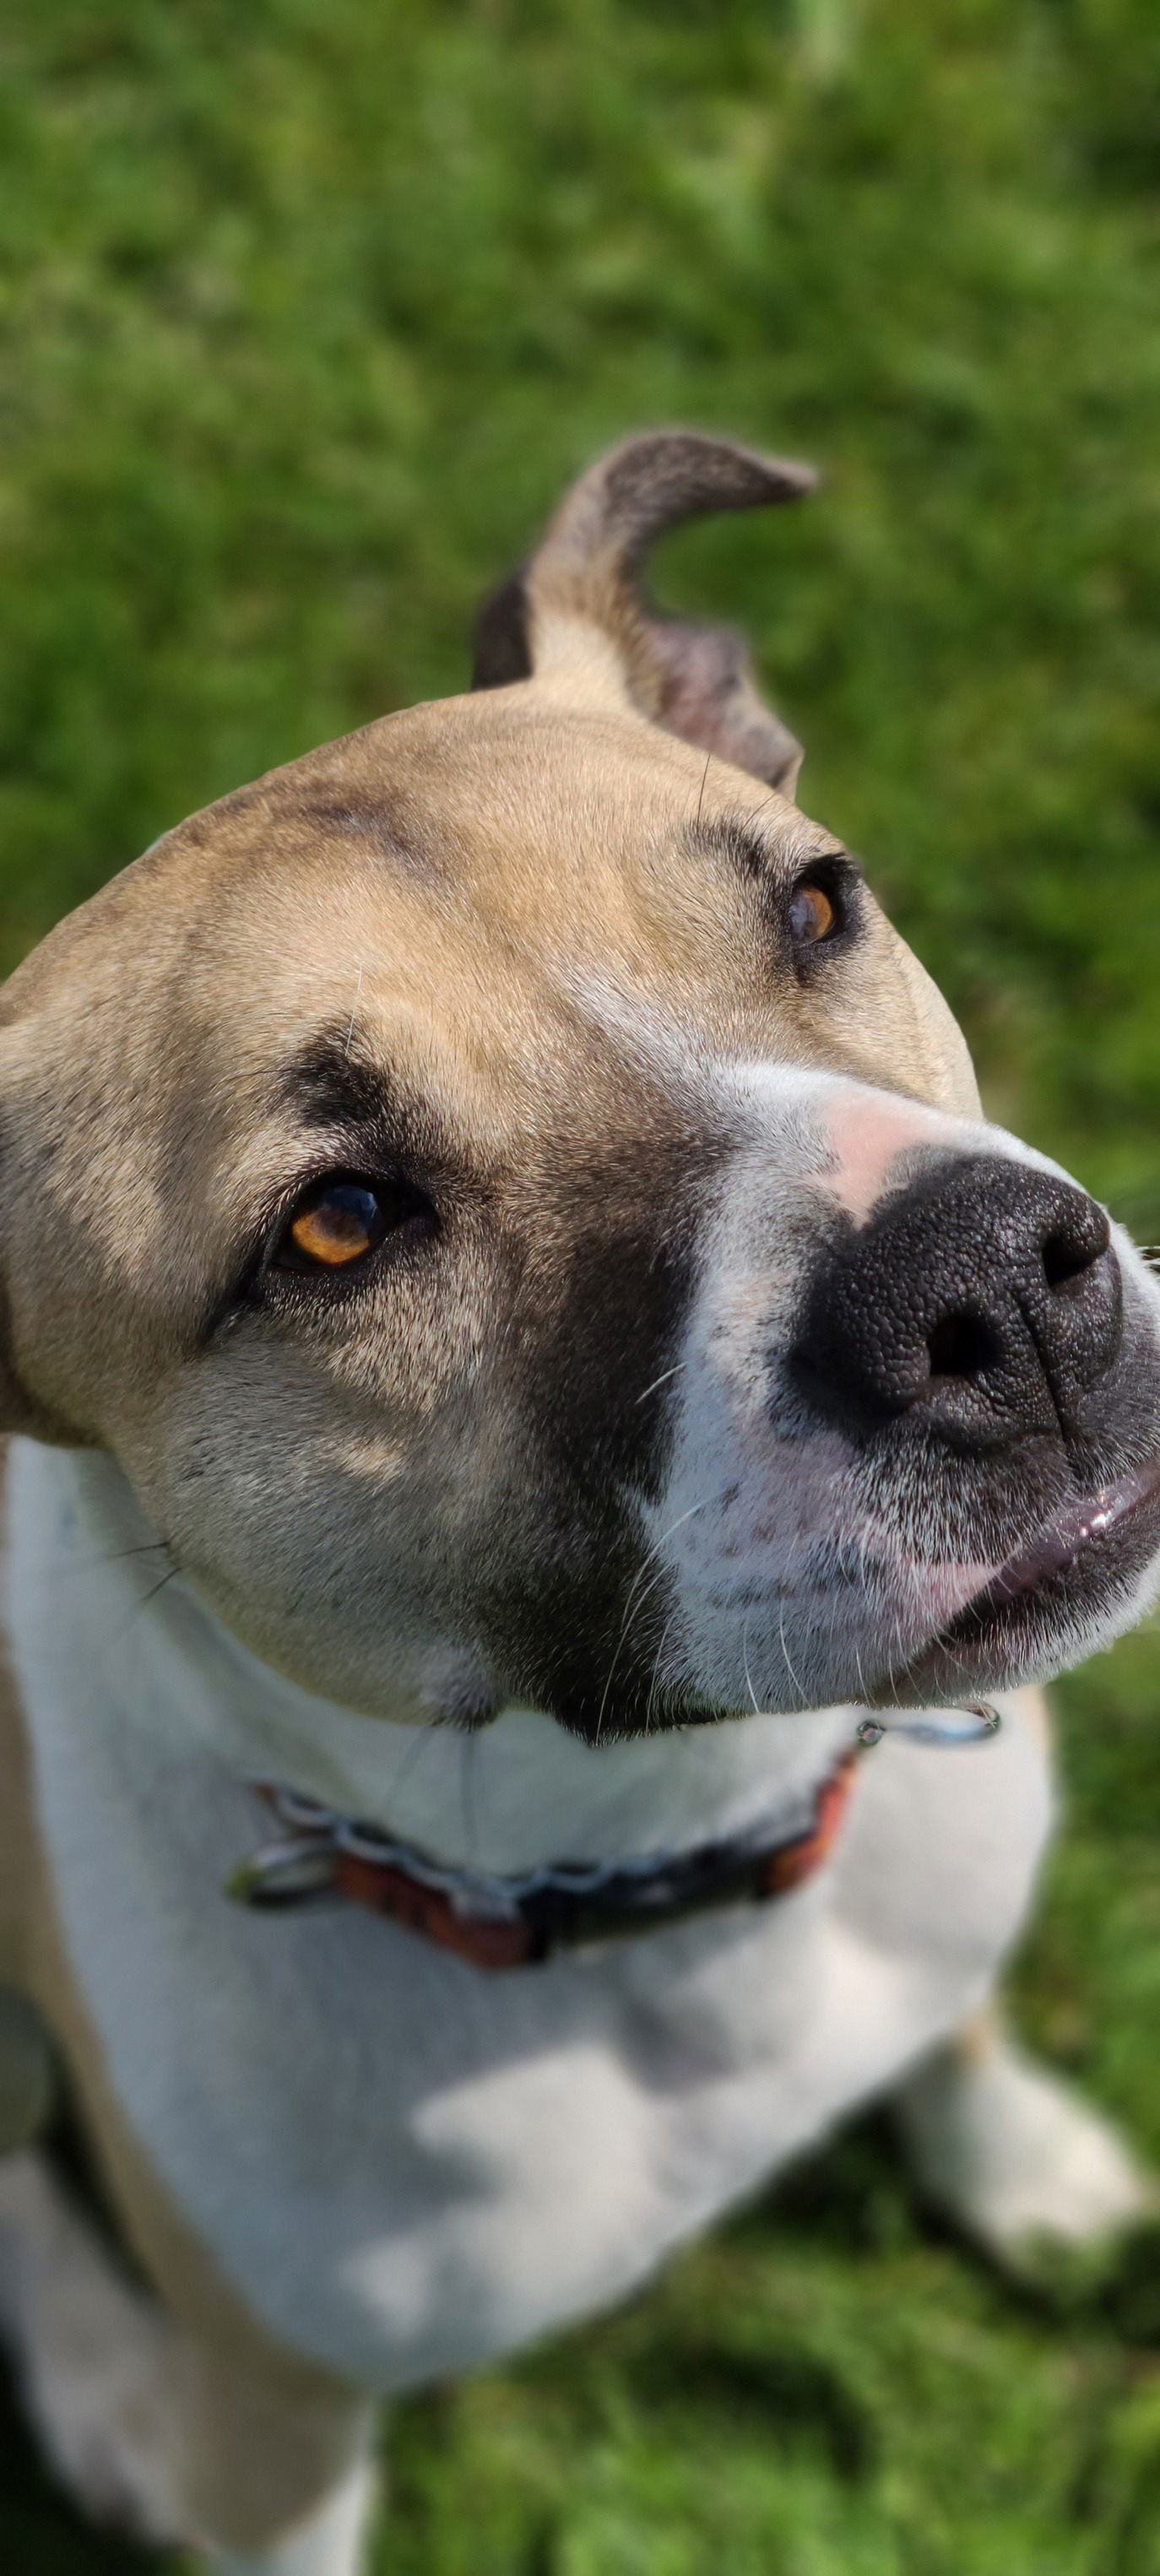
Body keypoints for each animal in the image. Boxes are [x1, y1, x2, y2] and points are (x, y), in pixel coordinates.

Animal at [0, 432, 1154, 2565]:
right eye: (338, 1223)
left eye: (817, 902)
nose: (995, 1291)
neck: (657, 1861)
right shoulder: (284, 2437)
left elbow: (958, 2023)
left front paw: (1026, 2158)